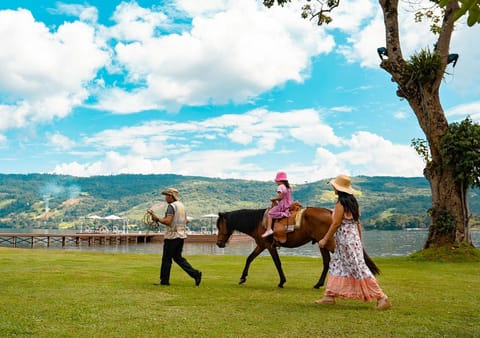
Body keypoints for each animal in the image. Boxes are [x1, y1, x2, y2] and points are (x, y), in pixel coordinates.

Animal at [217, 207, 378, 290]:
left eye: (219, 226)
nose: (218, 244)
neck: (258, 222)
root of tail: (331, 212)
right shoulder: (261, 245)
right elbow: (249, 258)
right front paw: (243, 277)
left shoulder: (268, 245)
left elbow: (277, 263)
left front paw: (282, 281)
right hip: (323, 243)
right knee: (327, 262)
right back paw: (319, 284)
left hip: (329, 243)